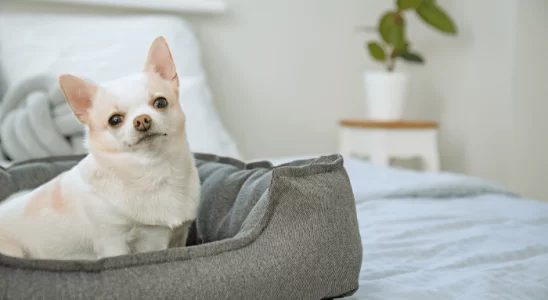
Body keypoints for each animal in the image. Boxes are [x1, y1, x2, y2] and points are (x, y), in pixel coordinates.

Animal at [0, 36, 200, 258]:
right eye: (115, 120)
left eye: (161, 102)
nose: (142, 120)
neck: (152, 171)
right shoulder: (113, 242)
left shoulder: (178, 239)